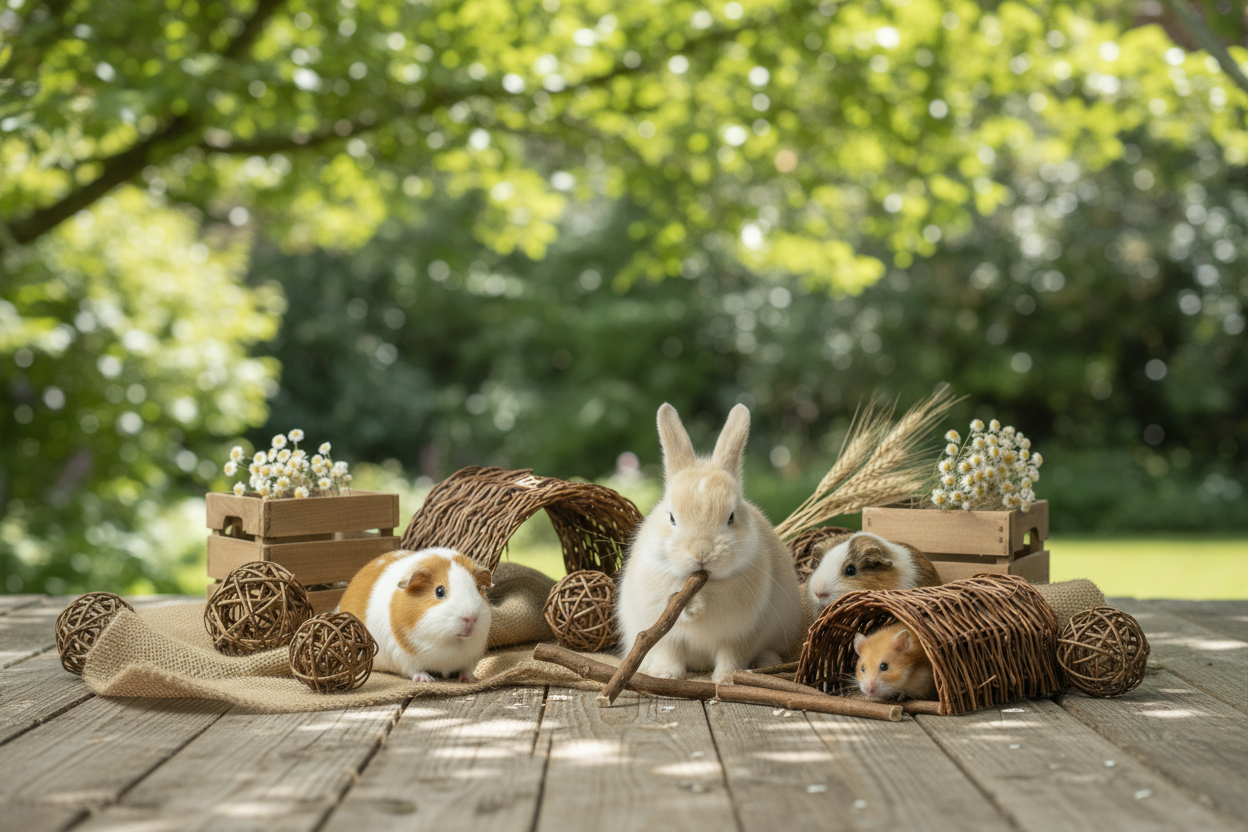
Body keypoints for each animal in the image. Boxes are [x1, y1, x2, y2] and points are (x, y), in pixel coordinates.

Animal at [337, 547, 493, 683]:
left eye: (477, 588)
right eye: (439, 591)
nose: (470, 617)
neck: (452, 644)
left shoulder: (473, 656)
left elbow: (467, 670)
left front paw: (471, 680)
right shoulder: (402, 656)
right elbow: (415, 670)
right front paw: (426, 680)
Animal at [616, 403, 804, 684]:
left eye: (731, 517)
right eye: (671, 517)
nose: (701, 553)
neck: (703, 585)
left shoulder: (741, 633)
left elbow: (731, 656)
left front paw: (726, 679)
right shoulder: (664, 633)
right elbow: (668, 650)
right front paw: (666, 675)